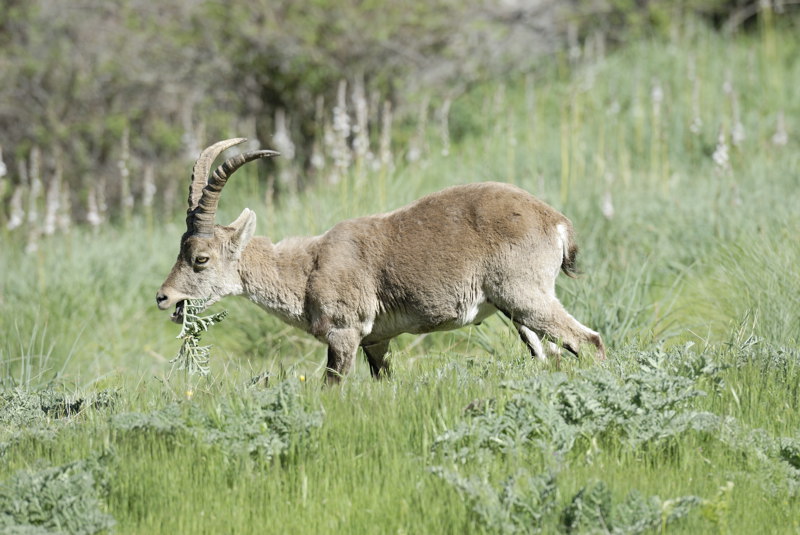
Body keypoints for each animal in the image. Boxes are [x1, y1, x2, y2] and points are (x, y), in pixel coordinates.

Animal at [156, 138, 608, 382]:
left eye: (200, 258)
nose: (164, 298)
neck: (307, 269)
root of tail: (555, 221)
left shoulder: (345, 333)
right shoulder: (377, 340)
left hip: (525, 295)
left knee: (589, 340)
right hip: (517, 313)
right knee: (550, 354)